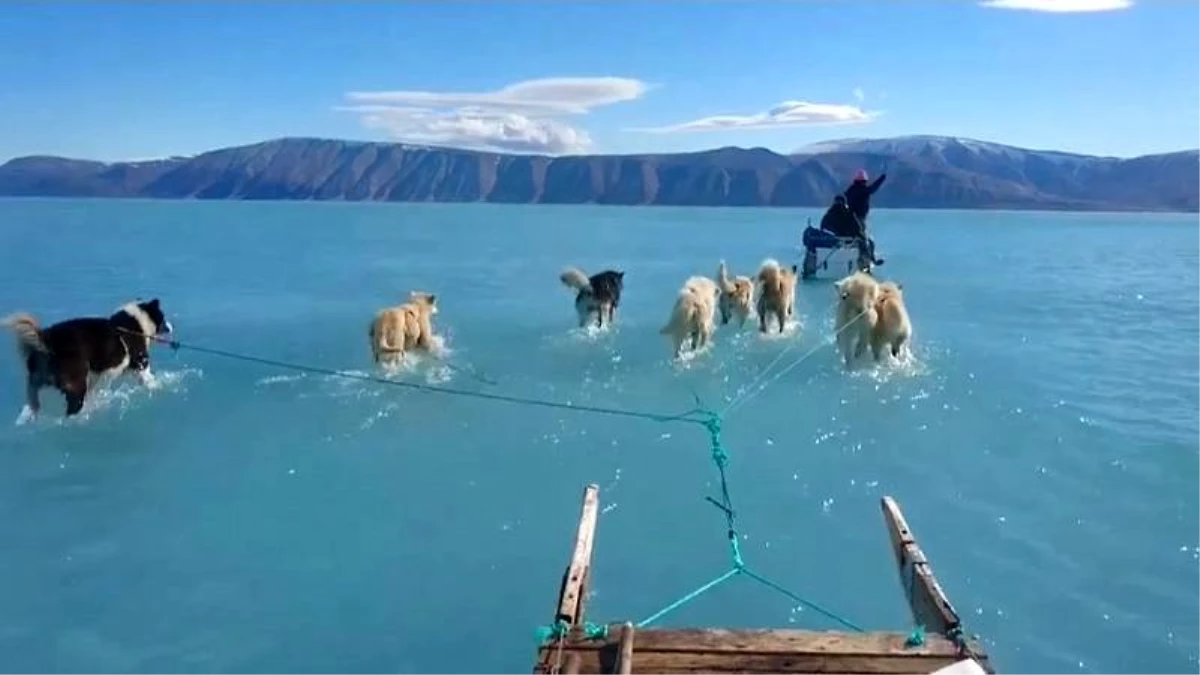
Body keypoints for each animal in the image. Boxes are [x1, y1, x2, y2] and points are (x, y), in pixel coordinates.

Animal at [1, 296, 175, 417]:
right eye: (163, 316)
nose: (171, 327)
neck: (134, 324)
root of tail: (46, 339)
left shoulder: (97, 375)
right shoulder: (140, 361)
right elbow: (149, 378)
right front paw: (157, 386)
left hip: (38, 379)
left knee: (33, 399)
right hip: (76, 380)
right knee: (72, 407)